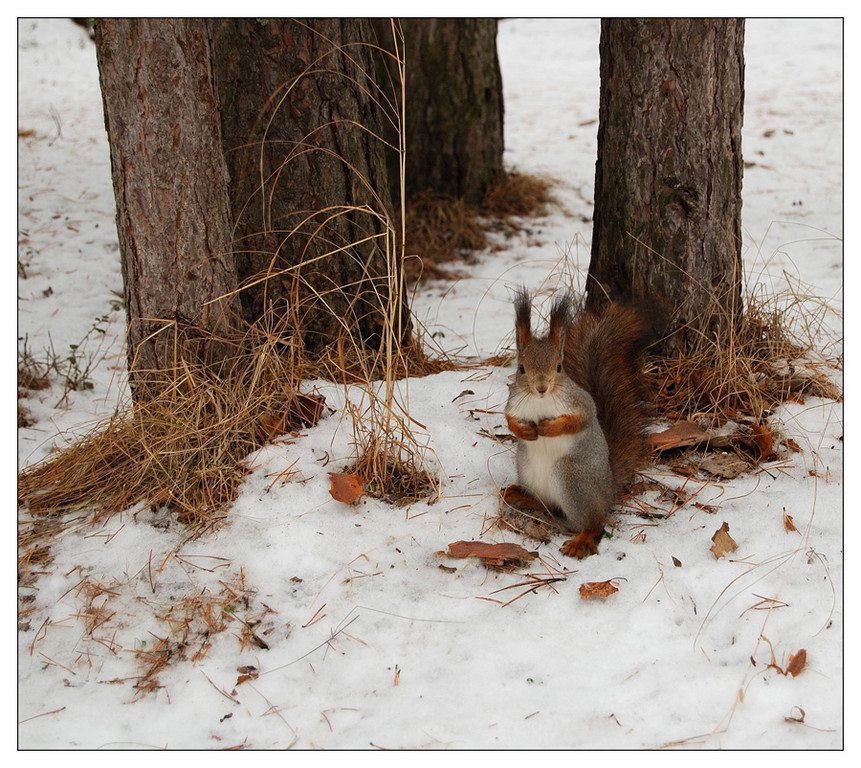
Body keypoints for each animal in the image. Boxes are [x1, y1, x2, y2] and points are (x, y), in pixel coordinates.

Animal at [504, 288, 644, 560]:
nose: (541, 388)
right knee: (548, 505)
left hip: (572, 478)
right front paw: (525, 430)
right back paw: (524, 498)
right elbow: (509, 421)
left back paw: (582, 540)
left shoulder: (582, 404)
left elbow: (578, 421)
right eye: (521, 368)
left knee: (594, 523)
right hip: (527, 470)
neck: (540, 402)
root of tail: (608, 493)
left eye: (559, 367)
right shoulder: (513, 404)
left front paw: (548, 428)